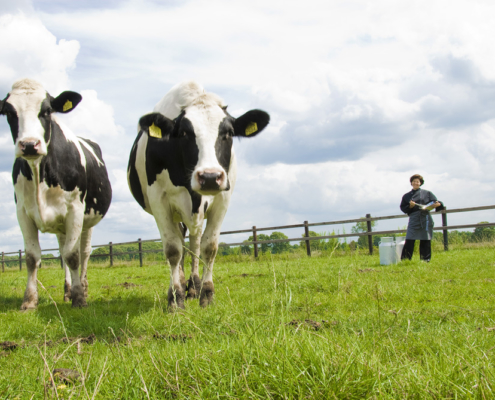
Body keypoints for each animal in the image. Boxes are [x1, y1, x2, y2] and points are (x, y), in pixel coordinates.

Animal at [0, 78, 112, 310]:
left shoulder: (75, 210)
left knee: (83, 252)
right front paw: (29, 301)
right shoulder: (22, 212)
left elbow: (73, 256)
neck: (39, 171)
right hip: (61, 224)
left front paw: (79, 299)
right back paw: (67, 290)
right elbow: (32, 257)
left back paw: (82, 288)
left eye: (47, 110)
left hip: (88, 219)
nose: (29, 144)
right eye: (8, 112)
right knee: (63, 249)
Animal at [127, 79, 268, 308]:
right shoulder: (159, 201)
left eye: (228, 133)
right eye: (184, 133)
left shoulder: (222, 199)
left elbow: (209, 247)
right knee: (180, 244)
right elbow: (173, 249)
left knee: (194, 243)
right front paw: (175, 298)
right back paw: (181, 284)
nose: (210, 176)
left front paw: (207, 293)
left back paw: (193, 286)